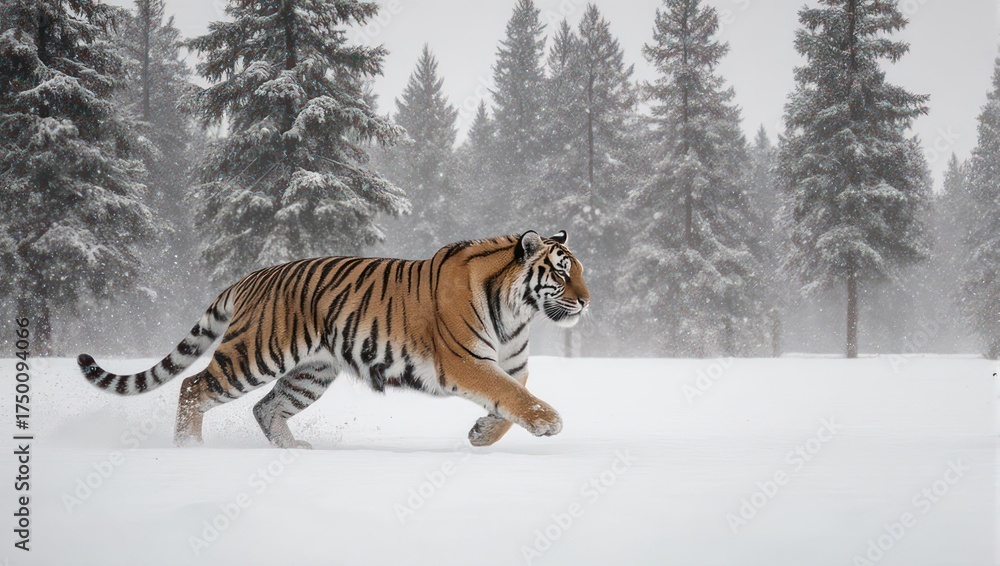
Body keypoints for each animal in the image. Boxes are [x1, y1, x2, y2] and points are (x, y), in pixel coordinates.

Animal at [77, 231, 589, 448]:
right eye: (563, 272)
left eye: (580, 270)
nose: (587, 301)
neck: (518, 312)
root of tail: (252, 276)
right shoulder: (465, 362)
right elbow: (514, 397)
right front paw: (550, 422)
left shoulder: (513, 364)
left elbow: (511, 401)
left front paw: (482, 434)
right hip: (253, 355)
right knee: (192, 386)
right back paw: (189, 450)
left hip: (311, 372)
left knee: (265, 407)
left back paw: (294, 451)